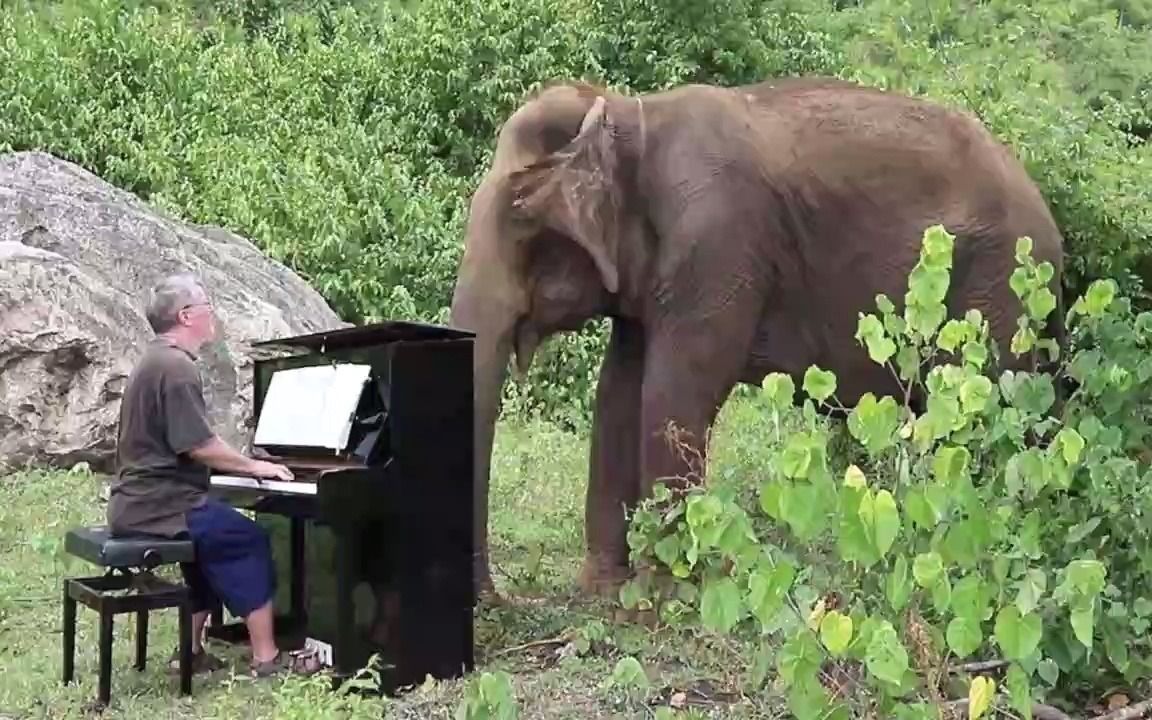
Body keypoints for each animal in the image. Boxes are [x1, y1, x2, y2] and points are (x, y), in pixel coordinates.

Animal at [448, 76, 1066, 599]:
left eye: (520, 217)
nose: (496, 601)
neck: (634, 112)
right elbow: (618, 393)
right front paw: (606, 593)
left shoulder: (719, 244)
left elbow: (675, 396)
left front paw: (663, 600)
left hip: (998, 290)